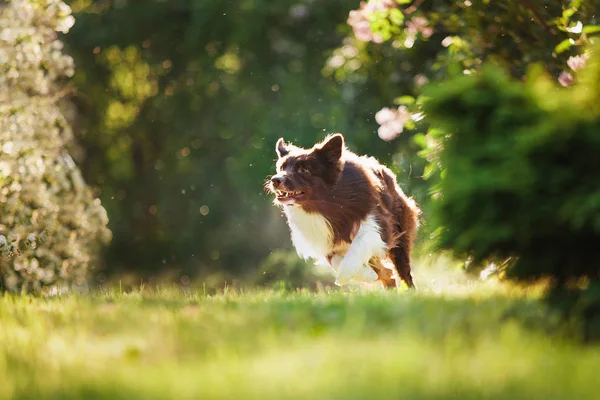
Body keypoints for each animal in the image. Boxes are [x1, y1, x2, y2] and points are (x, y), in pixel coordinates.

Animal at [268, 134, 422, 288]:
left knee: (404, 271)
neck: (328, 203)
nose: (275, 180)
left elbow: (359, 244)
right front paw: (368, 274)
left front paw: (345, 274)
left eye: (304, 169)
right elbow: (335, 260)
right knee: (388, 275)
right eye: (281, 167)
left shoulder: (378, 222)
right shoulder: (325, 239)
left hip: (400, 233)